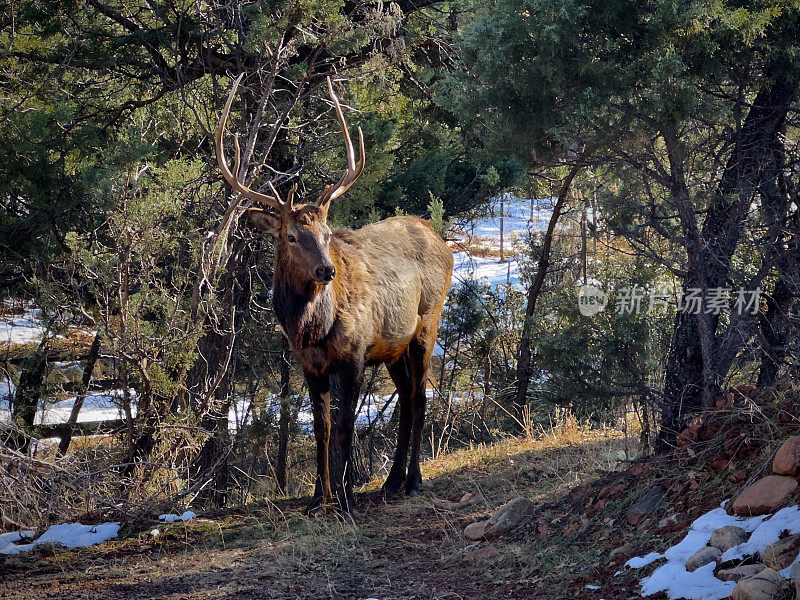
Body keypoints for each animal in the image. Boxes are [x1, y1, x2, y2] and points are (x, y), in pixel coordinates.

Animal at [214, 75, 450, 510]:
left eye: (326, 233)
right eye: (291, 236)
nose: (327, 269)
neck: (312, 329)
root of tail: (439, 237)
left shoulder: (354, 354)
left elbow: (344, 426)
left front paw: (344, 495)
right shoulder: (310, 364)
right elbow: (321, 426)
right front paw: (317, 497)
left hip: (428, 319)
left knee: (420, 397)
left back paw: (413, 480)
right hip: (393, 345)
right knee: (406, 398)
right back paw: (391, 480)